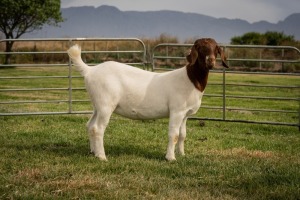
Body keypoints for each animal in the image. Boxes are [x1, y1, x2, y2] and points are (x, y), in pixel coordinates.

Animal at [67, 38, 227, 162]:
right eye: (200, 48)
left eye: (216, 49)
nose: (211, 61)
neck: (191, 80)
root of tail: (90, 70)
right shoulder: (177, 111)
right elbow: (174, 135)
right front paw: (170, 158)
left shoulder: (185, 114)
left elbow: (182, 135)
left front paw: (182, 154)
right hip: (106, 104)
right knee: (98, 128)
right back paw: (102, 156)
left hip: (97, 104)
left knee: (90, 125)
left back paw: (93, 152)